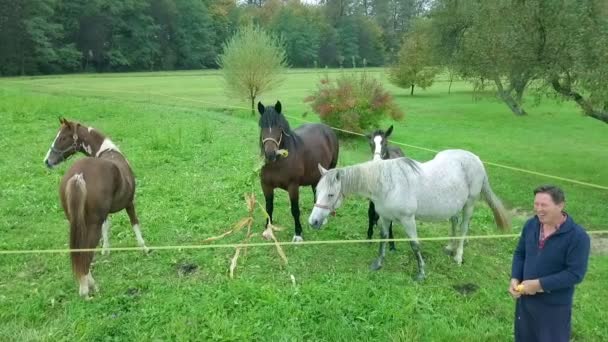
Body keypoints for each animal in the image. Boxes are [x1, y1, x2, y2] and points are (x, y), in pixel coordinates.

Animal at [44, 118, 148, 300]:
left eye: (63, 137)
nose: (47, 161)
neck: (108, 150)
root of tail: (79, 175)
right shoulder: (129, 203)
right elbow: (135, 223)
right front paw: (144, 248)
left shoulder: (104, 216)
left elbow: (107, 228)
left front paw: (106, 250)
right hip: (92, 226)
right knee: (86, 255)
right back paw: (86, 291)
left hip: (78, 223)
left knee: (80, 253)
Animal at [258, 100, 340, 242]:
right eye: (262, 126)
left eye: (279, 127)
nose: (270, 154)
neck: (278, 163)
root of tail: (329, 130)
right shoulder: (266, 186)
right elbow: (269, 208)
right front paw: (268, 230)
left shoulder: (293, 187)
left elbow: (295, 210)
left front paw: (298, 234)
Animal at [308, 150, 508, 280]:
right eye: (317, 191)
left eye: (331, 195)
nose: (313, 222)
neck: (387, 185)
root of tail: (476, 159)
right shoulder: (385, 218)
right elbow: (383, 238)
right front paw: (378, 263)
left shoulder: (408, 220)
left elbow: (415, 245)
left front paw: (421, 273)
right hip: (453, 205)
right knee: (454, 221)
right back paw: (450, 247)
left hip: (469, 204)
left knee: (464, 227)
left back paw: (458, 255)